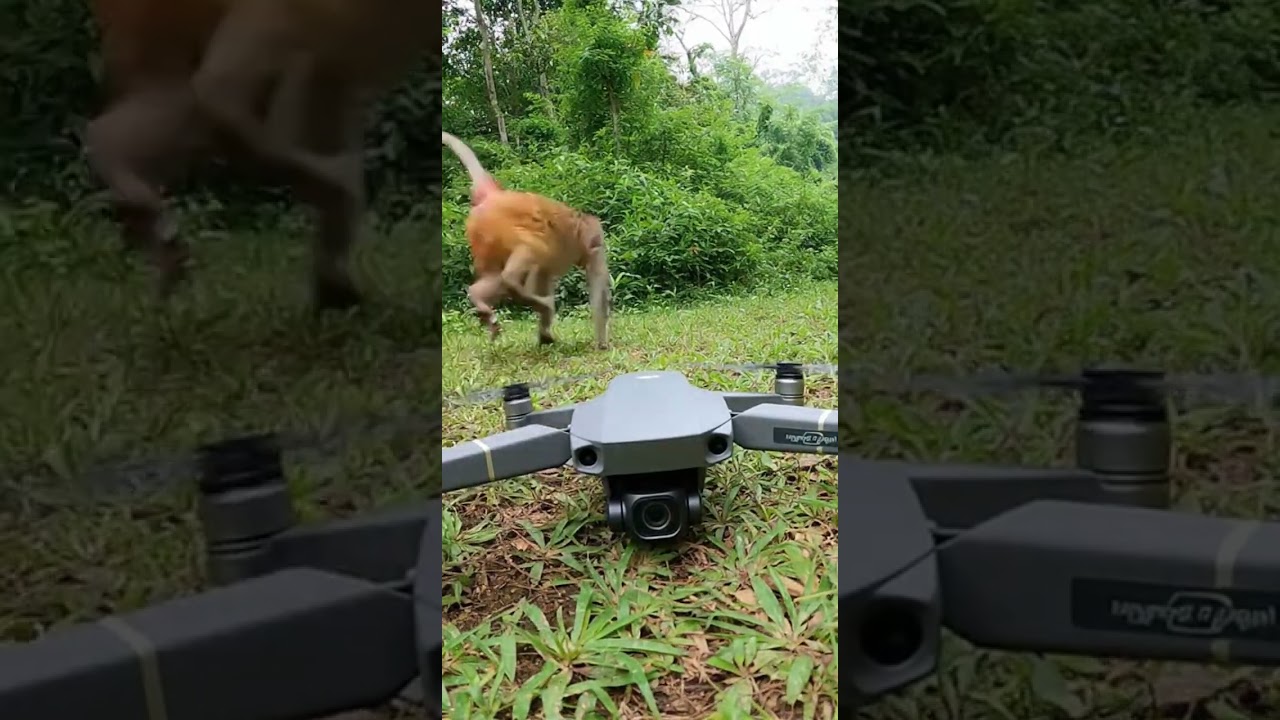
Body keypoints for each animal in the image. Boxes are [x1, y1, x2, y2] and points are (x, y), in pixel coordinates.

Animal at [441, 132, 611, 349]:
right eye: (597, 240)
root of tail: (494, 195)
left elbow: (543, 277)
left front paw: (545, 335)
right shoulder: (592, 243)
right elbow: (597, 286)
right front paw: (602, 344)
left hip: (483, 237)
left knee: (499, 274)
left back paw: (480, 297)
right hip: (498, 226)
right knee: (528, 250)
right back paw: (522, 292)